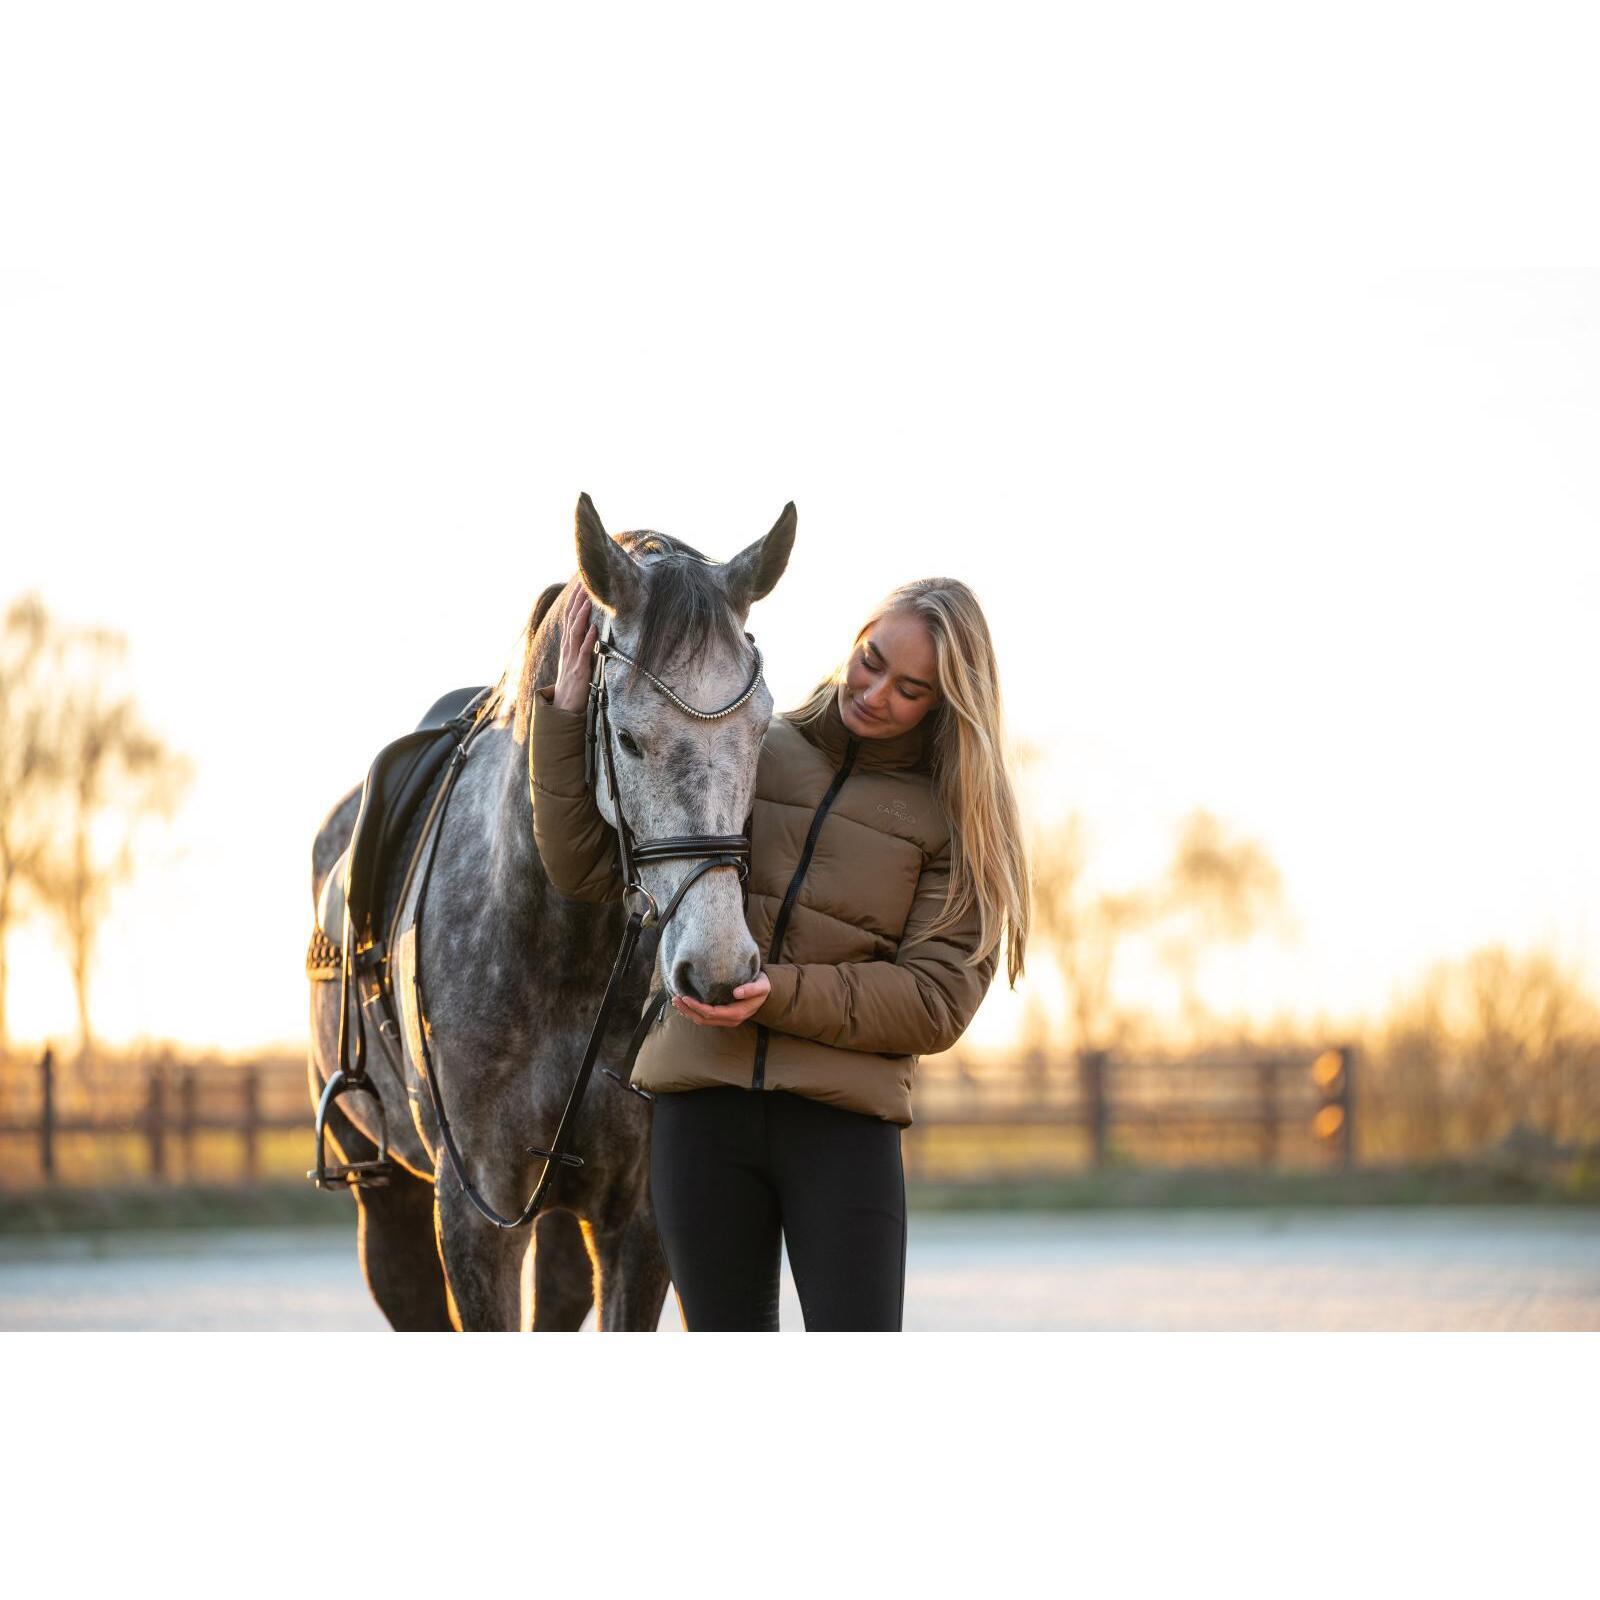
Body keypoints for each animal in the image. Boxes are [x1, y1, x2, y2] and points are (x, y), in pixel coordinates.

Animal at [307, 493, 795, 1329]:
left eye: (761, 730)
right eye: (626, 737)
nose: (720, 969)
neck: (562, 944)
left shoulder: (638, 1219)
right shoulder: (475, 1213)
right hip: (386, 1193)